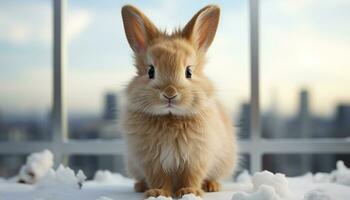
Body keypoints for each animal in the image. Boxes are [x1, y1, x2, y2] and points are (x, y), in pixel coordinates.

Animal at [119, 3, 238, 198]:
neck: (170, 118)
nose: (170, 93)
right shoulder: (152, 161)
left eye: (188, 72)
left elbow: (191, 176)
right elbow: (159, 178)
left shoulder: (195, 158)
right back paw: (140, 186)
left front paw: (190, 192)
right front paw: (158, 193)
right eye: (151, 71)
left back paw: (212, 186)